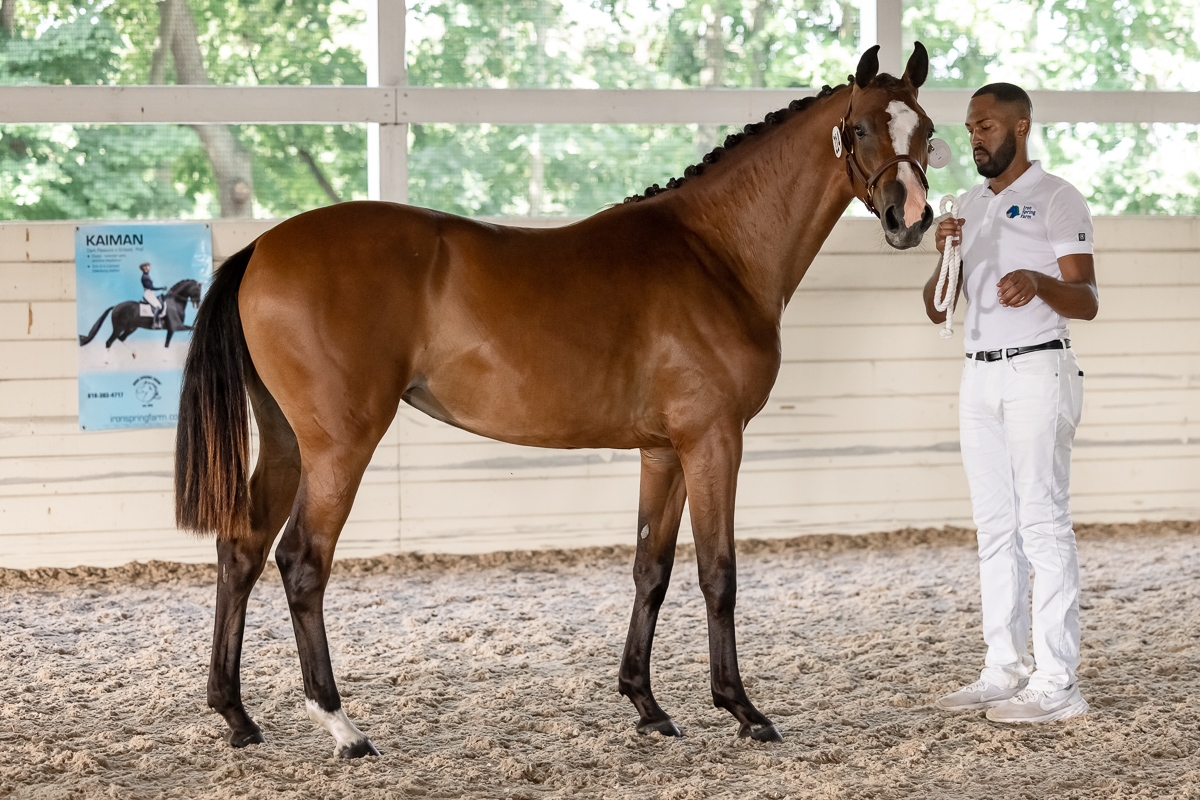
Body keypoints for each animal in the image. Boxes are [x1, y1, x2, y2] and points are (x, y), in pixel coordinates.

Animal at [175, 44, 937, 758]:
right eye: (861, 128)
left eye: (926, 131)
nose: (910, 218)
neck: (716, 252)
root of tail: (261, 247)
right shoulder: (713, 439)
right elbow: (718, 573)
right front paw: (743, 710)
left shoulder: (663, 451)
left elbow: (651, 569)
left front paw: (647, 705)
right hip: (338, 445)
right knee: (302, 562)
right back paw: (342, 726)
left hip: (286, 443)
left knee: (241, 549)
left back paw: (237, 716)